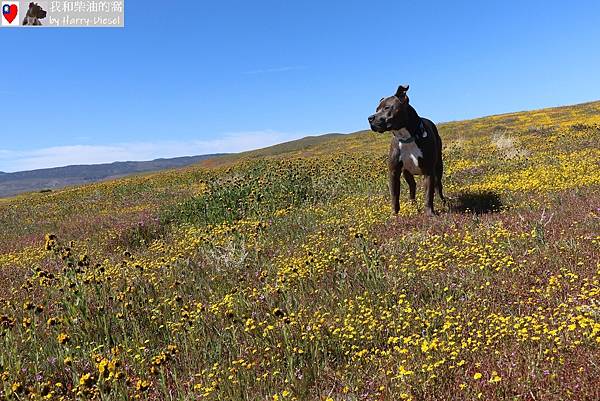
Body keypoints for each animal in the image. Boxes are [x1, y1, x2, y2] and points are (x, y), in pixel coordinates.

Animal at [368, 84, 442, 216]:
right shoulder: (394, 172)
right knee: (412, 187)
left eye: (387, 107)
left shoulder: (428, 171)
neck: (406, 138)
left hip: (439, 166)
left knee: (439, 186)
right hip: (407, 173)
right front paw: (394, 215)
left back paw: (443, 201)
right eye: (376, 109)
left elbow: (429, 195)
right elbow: (394, 196)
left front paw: (430, 214)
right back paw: (413, 206)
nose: (370, 118)